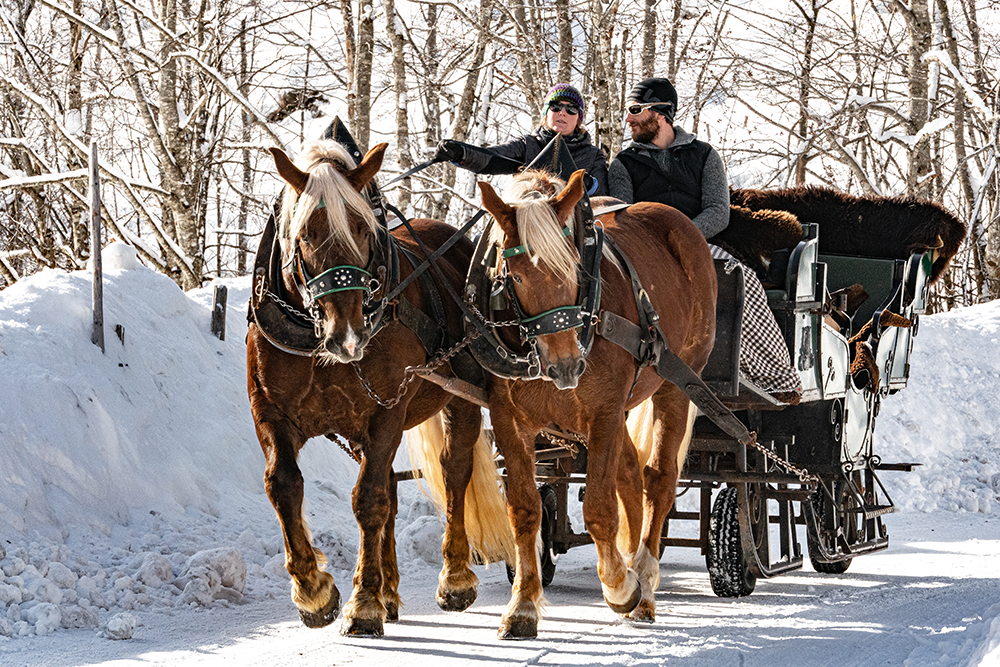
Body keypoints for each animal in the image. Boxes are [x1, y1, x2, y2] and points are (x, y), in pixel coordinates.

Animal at [249, 141, 512, 636]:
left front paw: (364, 603)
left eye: (363, 228)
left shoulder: (386, 411)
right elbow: (284, 486)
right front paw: (315, 592)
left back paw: (454, 578)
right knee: (390, 483)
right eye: (305, 234)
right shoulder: (271, 412)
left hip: (460, 396)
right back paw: (390, 591)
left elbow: (368, 500)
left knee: (454, 471)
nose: (348, 335)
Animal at [476, 170, 720, 640]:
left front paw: (621, 587)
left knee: (657, 479)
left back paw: (644, 583)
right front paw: (522, 605)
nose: (566, 364)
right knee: (629, 474)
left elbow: (600, 510)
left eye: (573, 266)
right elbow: (524, 510)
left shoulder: (603, 412)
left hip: (678, 381)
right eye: (515, 276)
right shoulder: (509, 420)